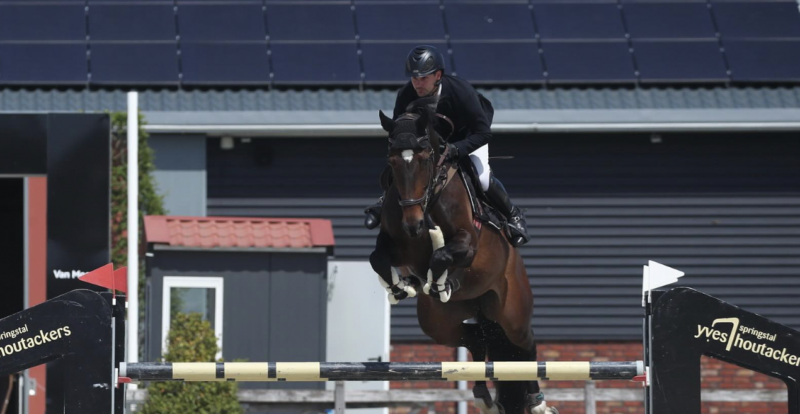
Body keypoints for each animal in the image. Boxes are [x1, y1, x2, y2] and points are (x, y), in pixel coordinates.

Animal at [368, 96, 556, 414]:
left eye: (424, 159)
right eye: (391, 162)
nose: (413, 225)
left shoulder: (468, 245)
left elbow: (441, 256)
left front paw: (438, 282)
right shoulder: (394, 243)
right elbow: (377, 259)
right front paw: (402, 286)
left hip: (511, 312)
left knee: (525, 346)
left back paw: (537, 404)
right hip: (440, 323)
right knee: (477, 341)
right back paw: (483, 397)